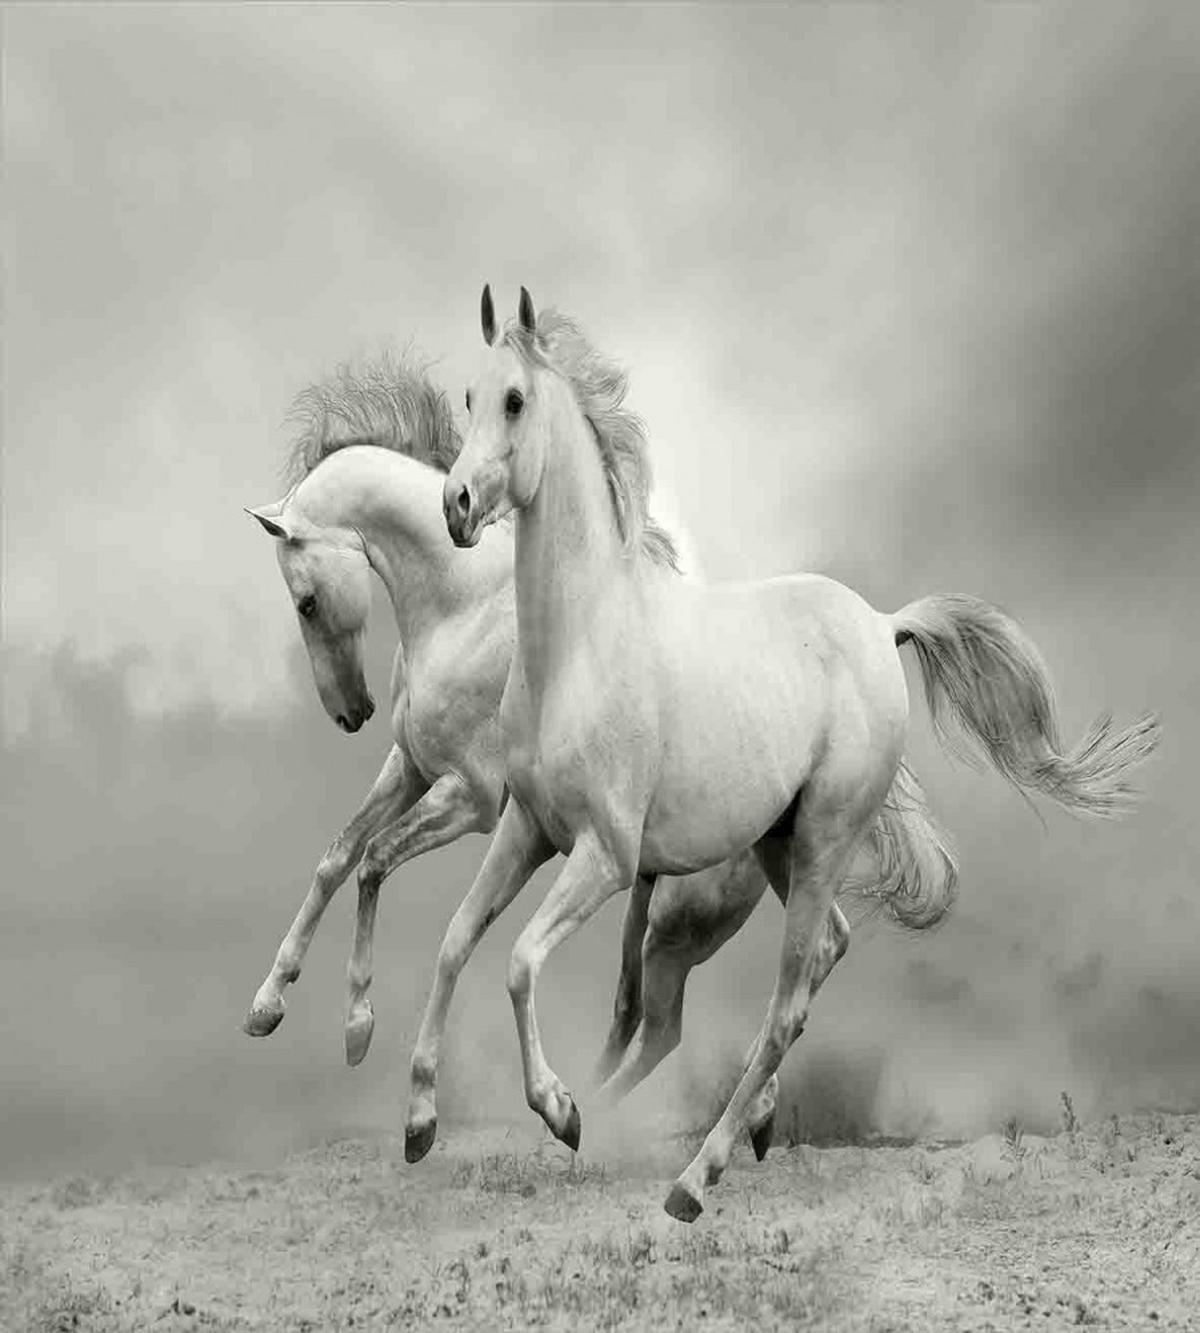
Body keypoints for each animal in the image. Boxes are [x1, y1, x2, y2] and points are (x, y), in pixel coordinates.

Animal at [440, 284, 1161, 1221]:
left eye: (515, 401)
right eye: (466, 397)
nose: (454, 505)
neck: (581, 642)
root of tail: (884, 623)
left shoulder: (605, 855)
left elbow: (521, 960)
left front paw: (561, 1112)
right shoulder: (527, 828)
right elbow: (459, 941)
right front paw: (418, 1120)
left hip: (820, 839)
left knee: (785, 1004)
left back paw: (694, 1178)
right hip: (782, 846)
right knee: (821, 955)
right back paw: (738, 1132)